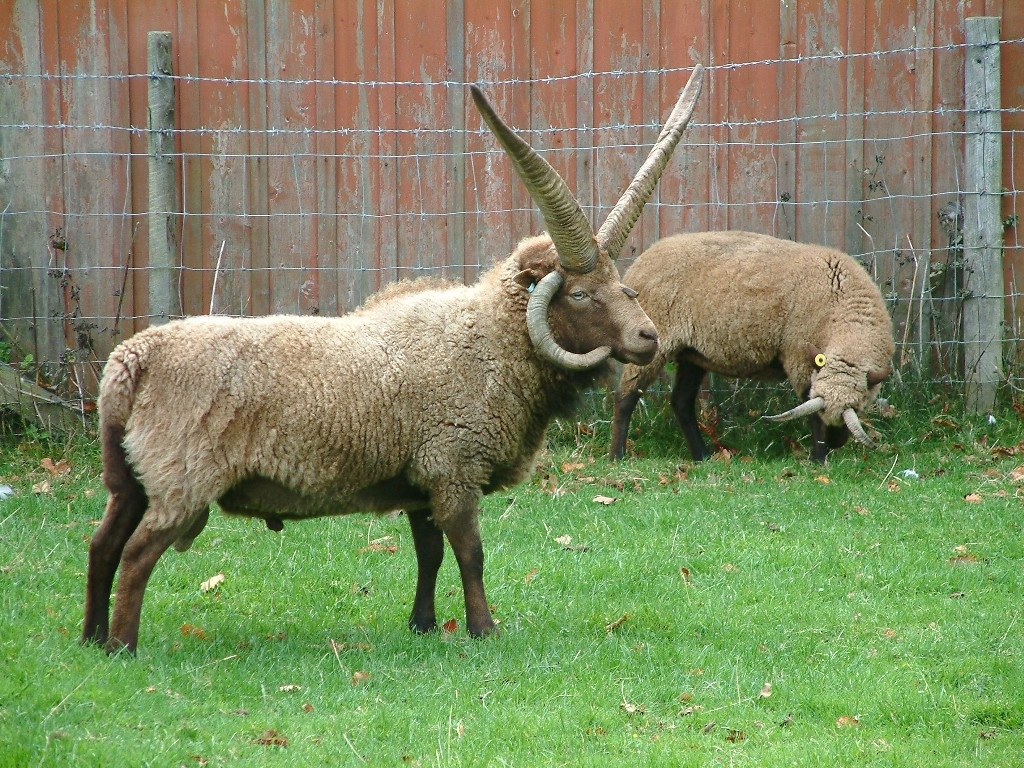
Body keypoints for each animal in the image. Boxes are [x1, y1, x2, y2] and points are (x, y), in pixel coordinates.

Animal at [83, 67, 704, 655]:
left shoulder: (419, 480)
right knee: (136, 556)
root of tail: (130, 361)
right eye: (578, 293)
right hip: (179, 478)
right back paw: (123, 647)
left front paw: (422, 626)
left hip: (130, 479)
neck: (488, 342)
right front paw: (484, 630)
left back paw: (91, 640)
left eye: (618, 281)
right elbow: (470, 553)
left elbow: (428, 555)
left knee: (101, 546)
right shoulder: (453, 468)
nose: (648, 337)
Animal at [610, 230, 892, 462]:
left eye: (858, 407)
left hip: (692, 354)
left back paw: (702, 456)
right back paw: (617, 455)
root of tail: (640, 262)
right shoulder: (799, 360)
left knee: (681, 401)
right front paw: (818, 460)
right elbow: (811, 413)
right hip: (652, 341)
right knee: (625, 396)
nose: (835, 444)